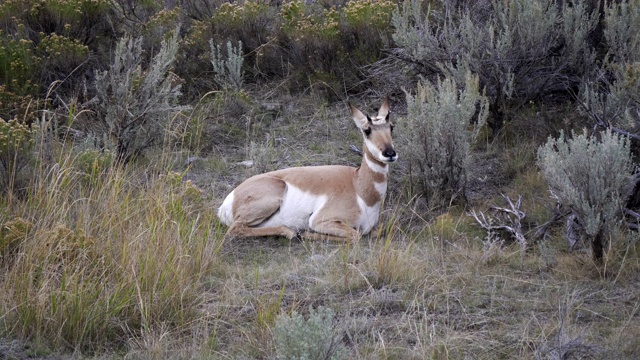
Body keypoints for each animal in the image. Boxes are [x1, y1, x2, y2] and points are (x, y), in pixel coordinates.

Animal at [219, 97, 396, 242]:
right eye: (367, 130)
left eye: (391, 127)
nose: (390, 153)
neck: (358, 186)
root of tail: (229, 200)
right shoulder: (320, 221)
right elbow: (355, 235)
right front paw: (306, 234)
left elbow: (375, 231)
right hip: (274, 194)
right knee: (235, 229)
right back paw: (291, 232)